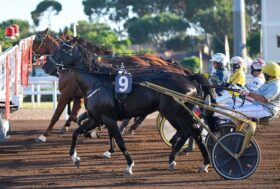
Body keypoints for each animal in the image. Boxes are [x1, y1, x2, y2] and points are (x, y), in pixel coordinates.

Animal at [46, 42, 217, 174]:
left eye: (63, 49)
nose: (47, 65)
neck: (97, 81)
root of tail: (188, 77)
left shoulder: (108, 119)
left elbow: (120, 140)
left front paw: (129, 165)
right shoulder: (97, 118)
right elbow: (76, 132)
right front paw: (75, 157)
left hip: (173, 113)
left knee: (188, 130)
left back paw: (174, 157)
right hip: (181, 112)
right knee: (194, 130)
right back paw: (202, 163)